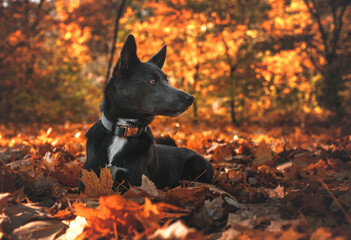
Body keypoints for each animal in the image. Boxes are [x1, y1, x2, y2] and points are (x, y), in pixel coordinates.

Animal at [78, 33, 213, 192]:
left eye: (167, 81)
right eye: (152, 81)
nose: (190, 98)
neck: (123, 130)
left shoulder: (133, 182)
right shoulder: (88, 177)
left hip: (197, 163)